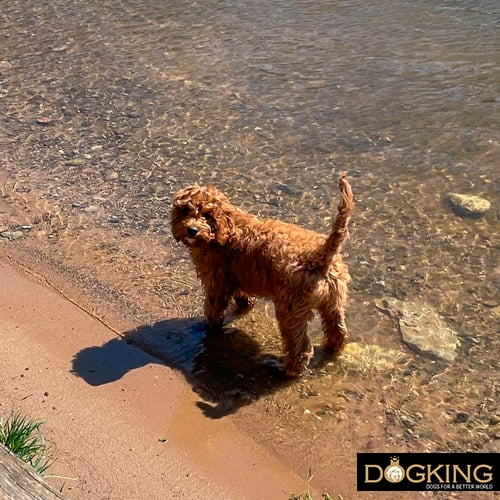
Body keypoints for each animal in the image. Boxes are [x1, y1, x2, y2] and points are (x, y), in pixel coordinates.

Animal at [172, 174, 356, 376]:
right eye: (185, 210)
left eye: (206, 215)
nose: (192, 230)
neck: (226, 229)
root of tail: (320, 254)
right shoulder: (237, 275)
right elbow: (242, 295)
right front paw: (246, 304)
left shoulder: (216, 281)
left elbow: (214, 307)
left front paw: (209, 326)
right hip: (333, 299)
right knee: (337, 328)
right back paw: (332, 348)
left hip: (291, 308)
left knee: (299, 346)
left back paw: (289, 369)